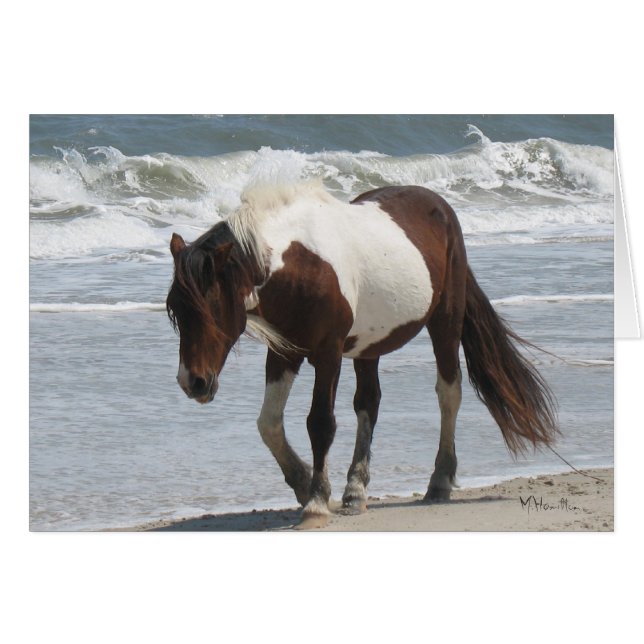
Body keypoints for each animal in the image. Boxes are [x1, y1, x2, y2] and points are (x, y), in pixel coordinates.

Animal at [166, 182, 558, 527]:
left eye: (211, 307)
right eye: (176, 311)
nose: (192, 382)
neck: (302, 264)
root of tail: (440, 206)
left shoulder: (328, 354)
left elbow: (320, 423)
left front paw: (316, 503)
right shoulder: (284, 353)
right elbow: (269, 423)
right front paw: (302, 483)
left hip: (445, 322)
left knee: (449, 393)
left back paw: (440, 480)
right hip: (369, 347)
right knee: (369, 402)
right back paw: (356, 491)